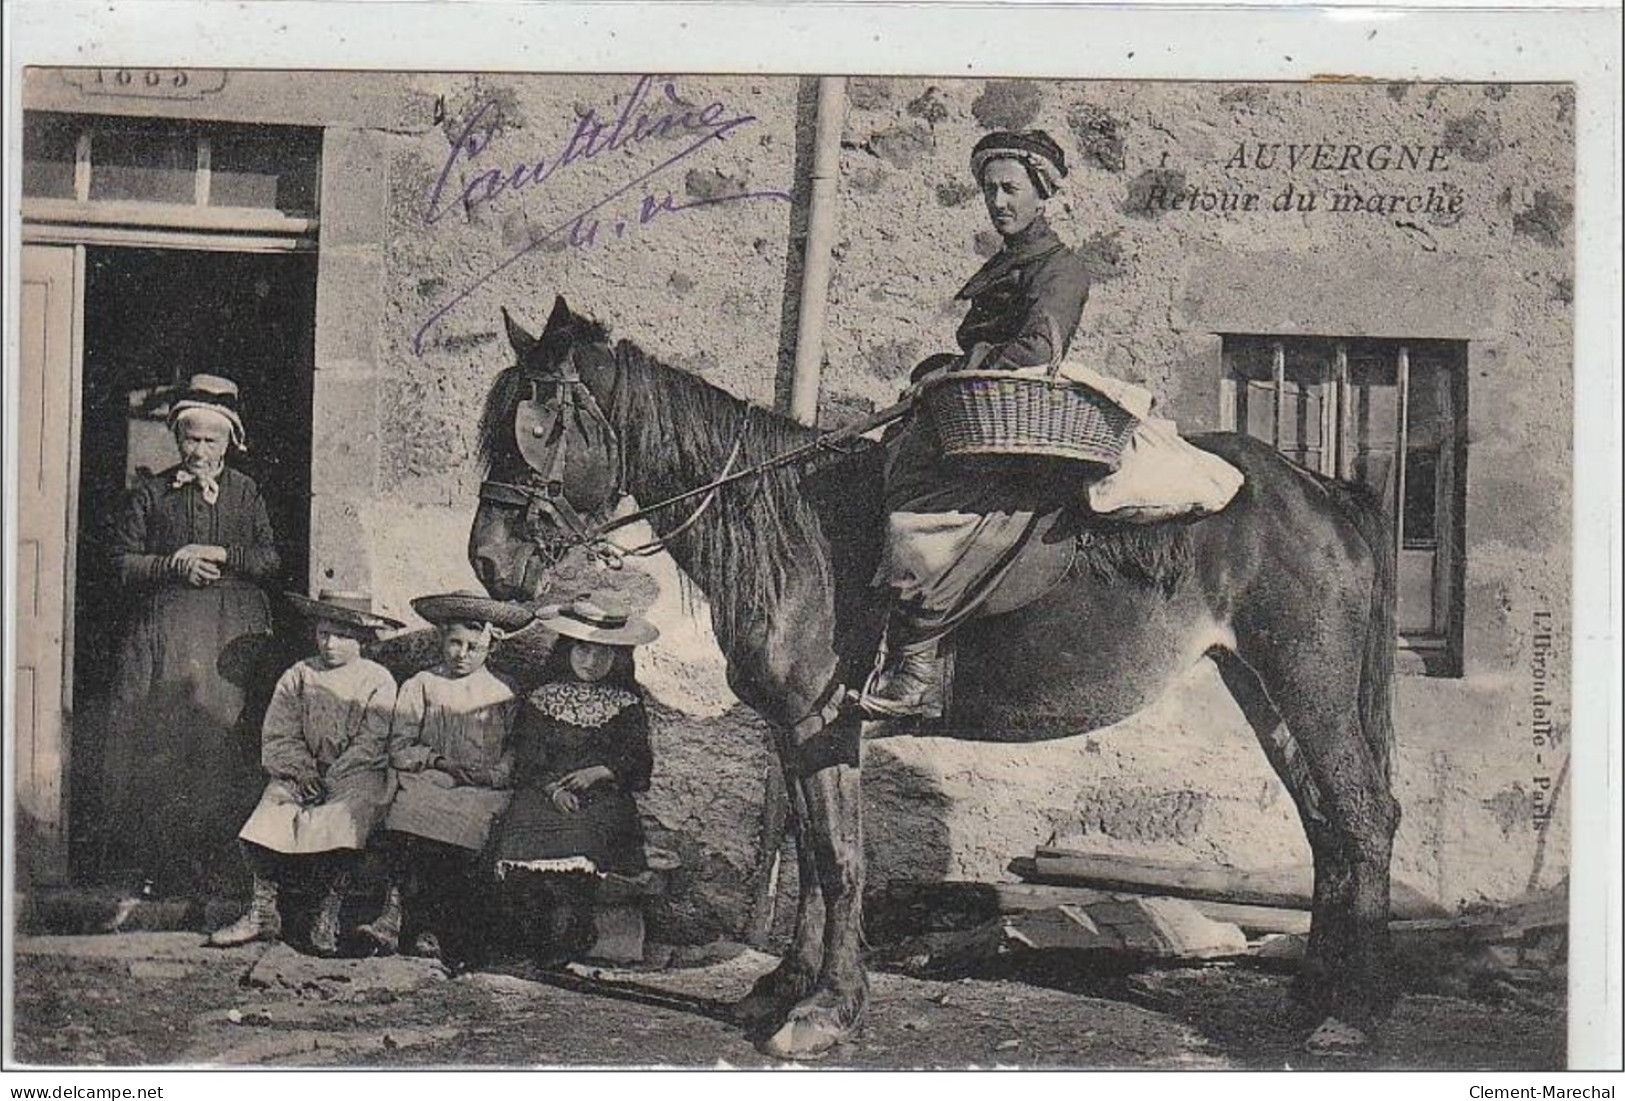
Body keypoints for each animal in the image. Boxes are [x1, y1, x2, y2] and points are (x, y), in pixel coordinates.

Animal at [468, 300, 1397, 1058]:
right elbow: (810, 855)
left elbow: (839, 859)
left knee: (1362, 819)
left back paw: (1350, 1013)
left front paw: (825, 1012)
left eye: (539, 425)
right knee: (1327, 828)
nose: (487, 561)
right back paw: (1311, 996)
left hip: (1306, 685)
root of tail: (1321, 487)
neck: (796, 529)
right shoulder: (799, 735)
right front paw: (784, 987)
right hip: (1263, 690)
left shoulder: (820, 726)